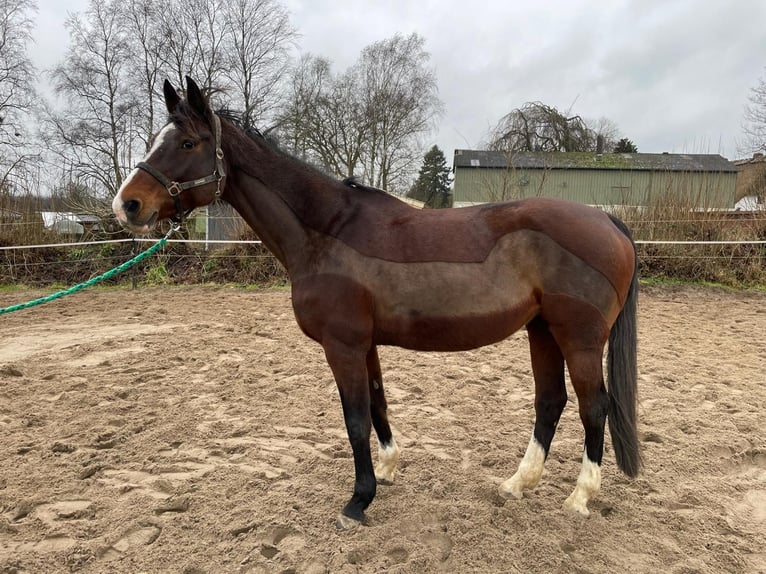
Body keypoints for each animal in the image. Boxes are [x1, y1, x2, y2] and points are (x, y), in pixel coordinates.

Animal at [114, 77, 640, 532]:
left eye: (187, 143)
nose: (128, 205)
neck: (326, 231)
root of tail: (608, 221)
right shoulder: (363, 344)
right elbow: (378, 402)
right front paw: (386, 471)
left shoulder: (342, 345)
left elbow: (354, 418)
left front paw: (357, 500)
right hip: (542, 331)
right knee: (550, 401)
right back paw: (517, 483)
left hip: (579, 339)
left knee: (594, 406)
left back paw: (579, 497)